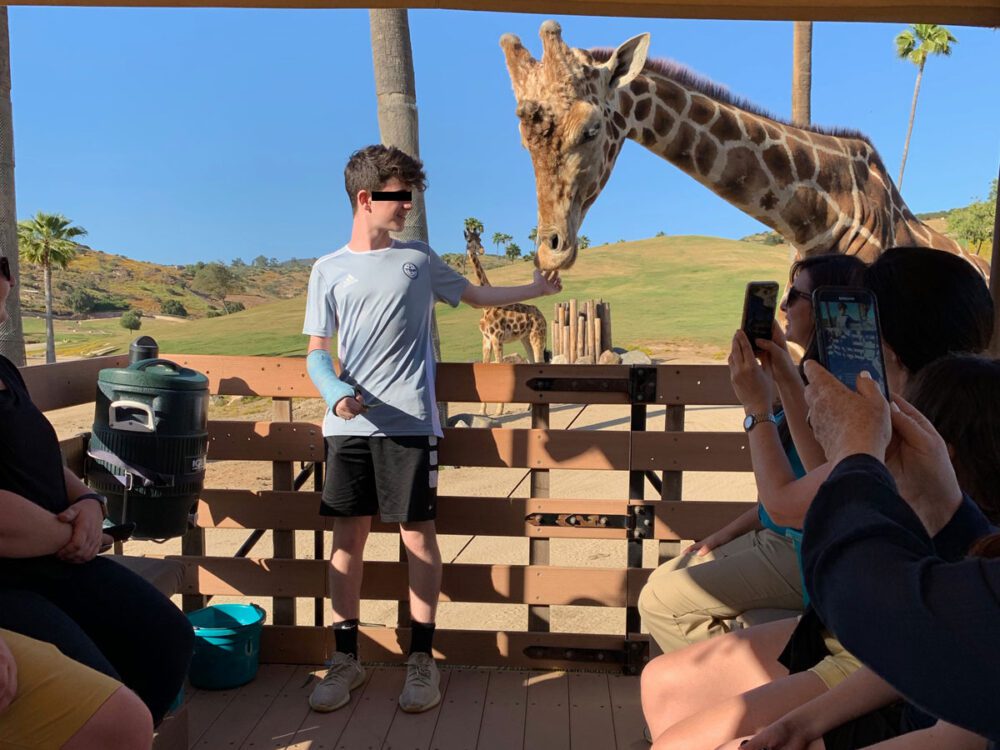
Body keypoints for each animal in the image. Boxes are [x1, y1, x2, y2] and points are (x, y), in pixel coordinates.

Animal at [466, 229, 552, 418]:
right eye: (469, 239)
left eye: (480, 238)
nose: (481, 250)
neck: (486, 307)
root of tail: (543, 317)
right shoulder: (486, 339)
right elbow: (485, 367)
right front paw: (482, 411)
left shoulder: (497, 337)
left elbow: (499, 366)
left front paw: (499, 410)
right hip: (525, 338)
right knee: (532, 362)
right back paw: (528, 407)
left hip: (537, 336)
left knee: (540, 361)